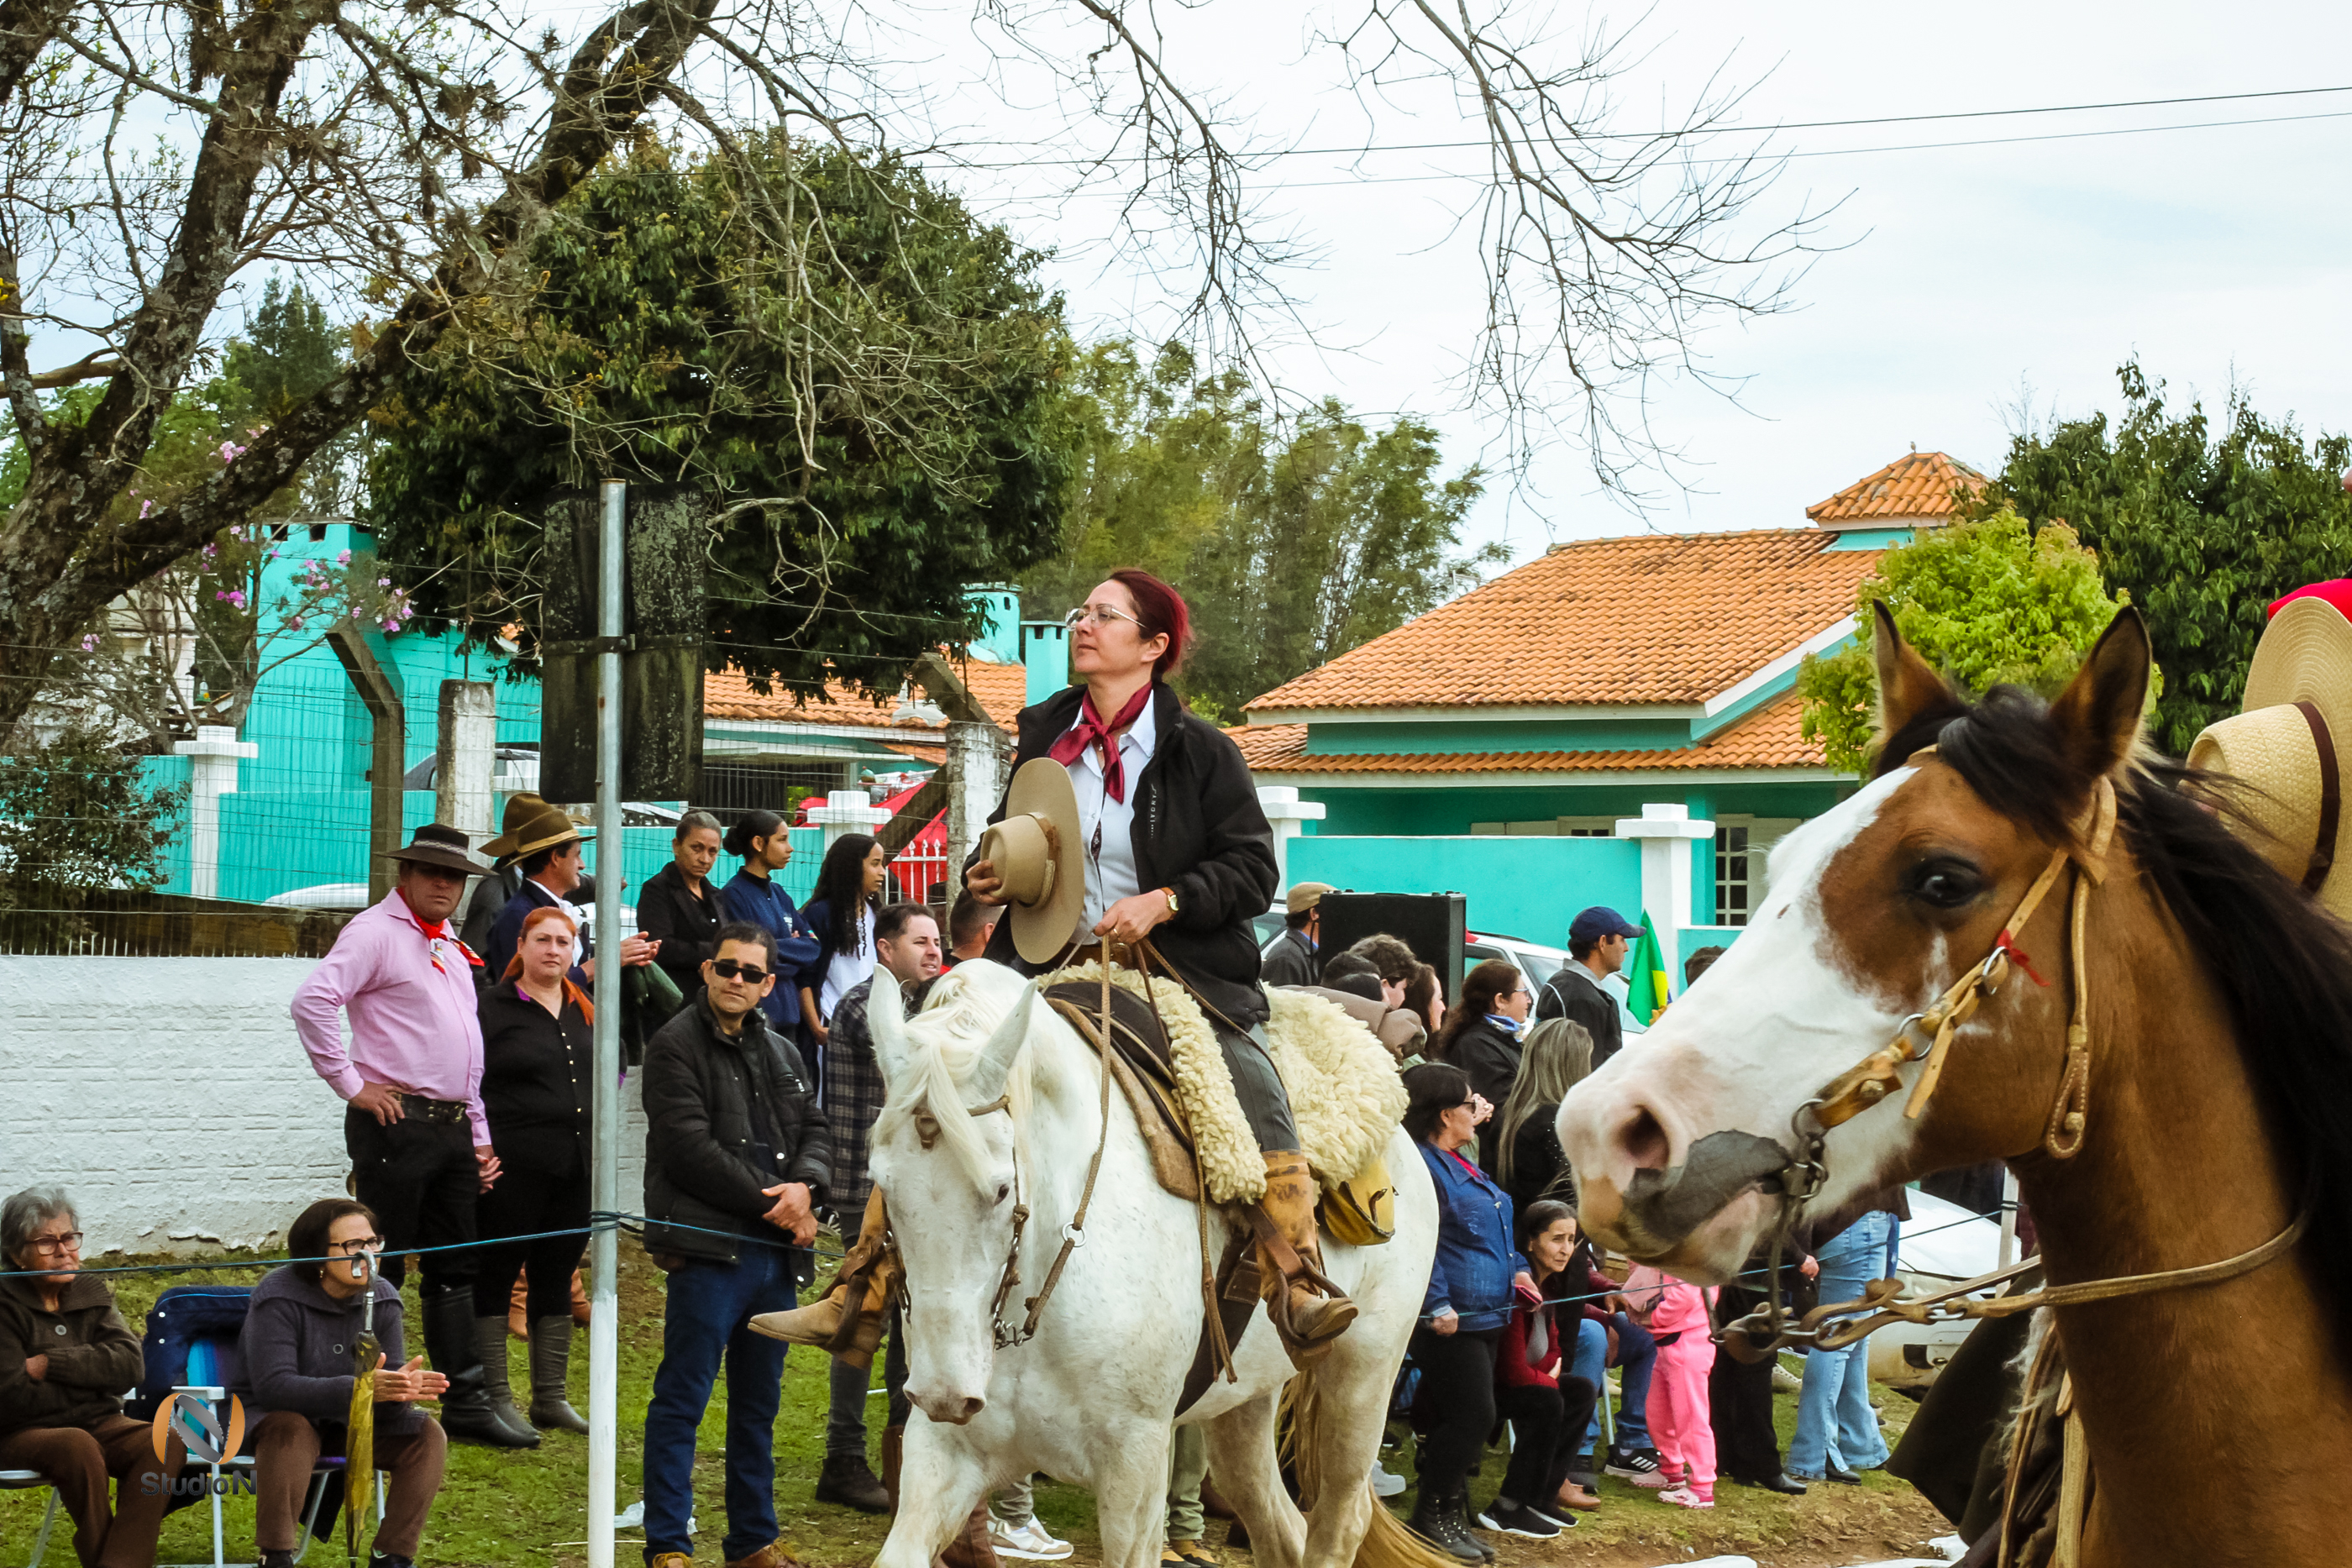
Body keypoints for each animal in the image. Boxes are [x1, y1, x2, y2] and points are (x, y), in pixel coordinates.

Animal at [861, 959, 1444, 1568]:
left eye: (1000, 1189)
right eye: (881, 1182)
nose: (945, 1394)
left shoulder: (1135, 1464)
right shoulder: (945, 1453)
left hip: (1363, 1379)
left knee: (1338, 1523)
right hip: (1243, 1403)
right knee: (1277, 1522)